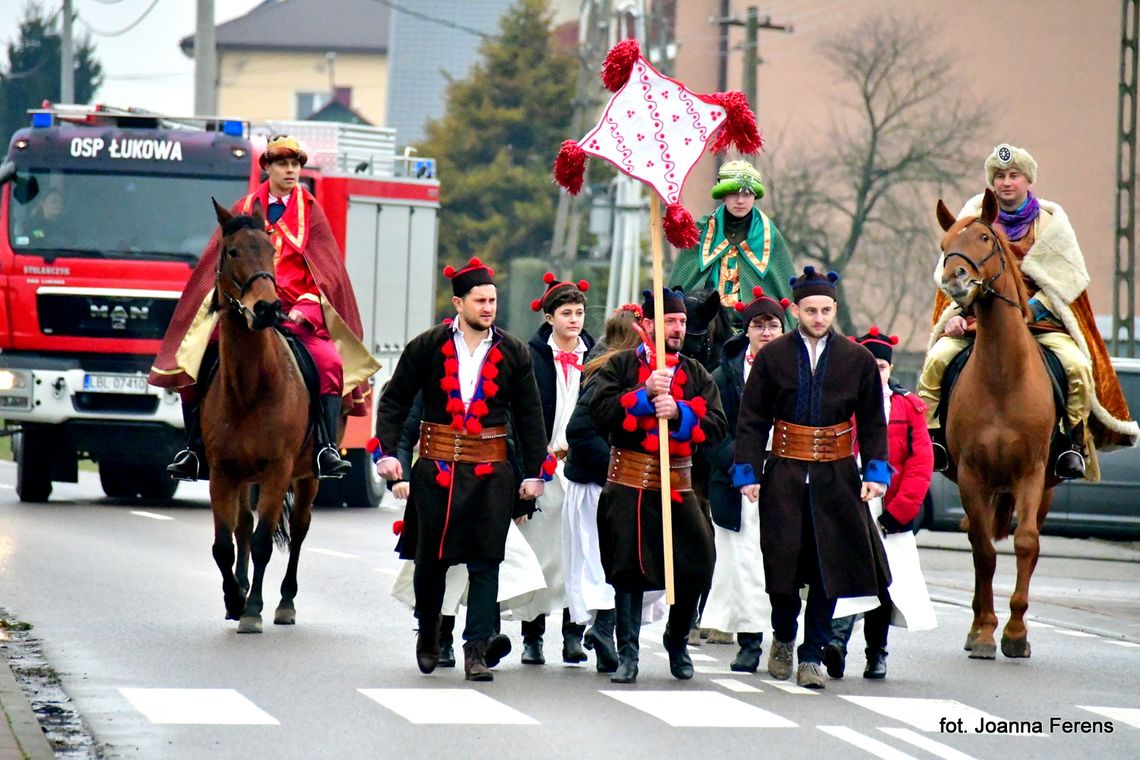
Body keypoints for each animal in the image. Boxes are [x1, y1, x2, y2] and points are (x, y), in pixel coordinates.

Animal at [204, 200, 319, 638]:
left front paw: (252, 608)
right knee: (241, 527)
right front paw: (234, 599)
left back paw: (285, 602)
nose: (268, 308)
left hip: (308, 476)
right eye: (233, 251)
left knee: (299, 530)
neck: (249, 388)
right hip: (242, 477)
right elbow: (225, 544)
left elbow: (264, 543)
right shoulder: (221, 472)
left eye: (271, 251)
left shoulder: (277, 472)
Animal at [934, 189, 1057, 660]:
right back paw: (975, 625)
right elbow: (984, 552)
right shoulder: (973, 475)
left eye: (985, 237)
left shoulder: (1032, 473)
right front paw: (985, 632)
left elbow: (1026, 543)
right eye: (945, 242)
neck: (1004, 378)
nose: (954, 279)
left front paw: (1016, 633)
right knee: (977, 540)